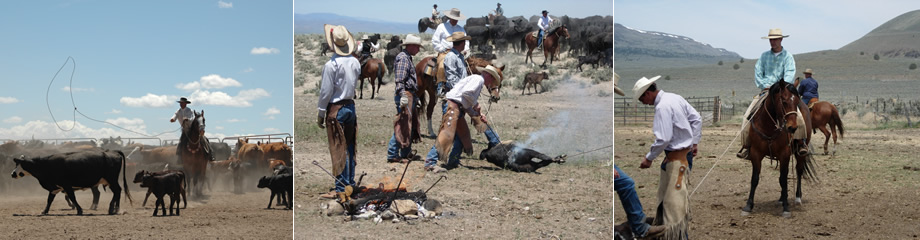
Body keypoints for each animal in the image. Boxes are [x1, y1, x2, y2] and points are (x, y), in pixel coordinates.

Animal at [744, 80, 816, 218]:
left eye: (797, 101)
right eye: (784, 101)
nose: (792, 128)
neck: (768, 127)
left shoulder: (784, 154)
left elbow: (784, 179)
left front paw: (786, 208)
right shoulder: (755, 153)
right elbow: (755, 179)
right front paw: (748, 206)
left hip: (800, 153)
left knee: (798, 171)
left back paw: (797, 198)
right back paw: (782, 198)